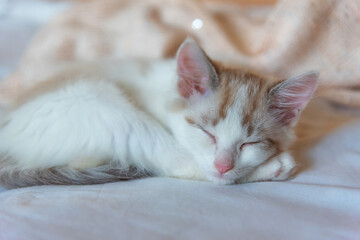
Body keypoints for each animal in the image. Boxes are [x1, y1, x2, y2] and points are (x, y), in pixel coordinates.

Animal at [0, 38, 318, 188]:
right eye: (206, 133)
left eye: (249, 143)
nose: (222, 166)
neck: (167, 90)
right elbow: (193, 166)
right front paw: (270, 165)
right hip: (101, 105)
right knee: (176, 163)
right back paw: (275, 167)